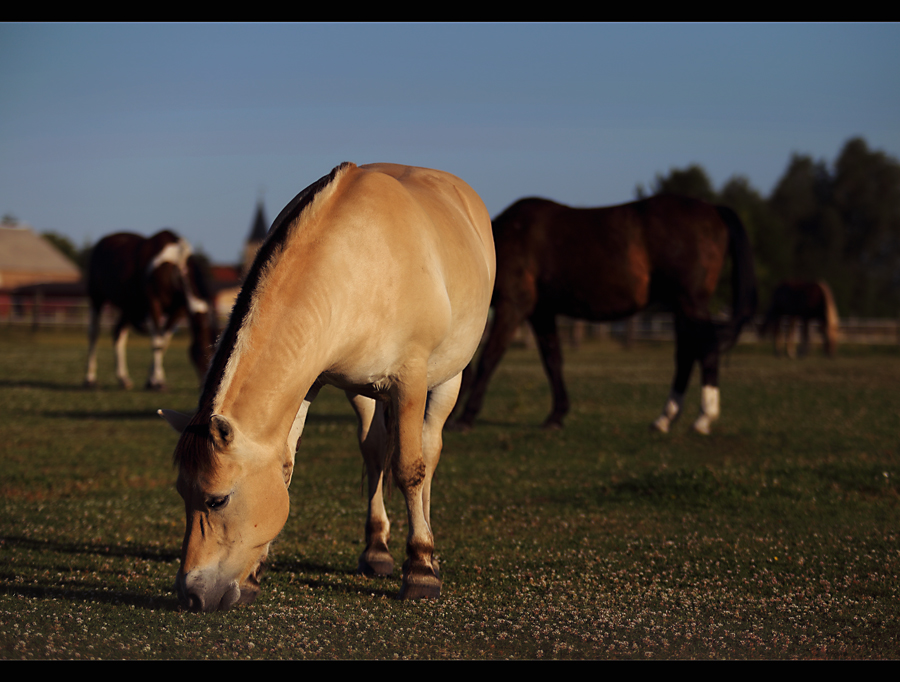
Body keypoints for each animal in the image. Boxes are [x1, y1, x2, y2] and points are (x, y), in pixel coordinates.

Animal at [85, 228, 218, 388]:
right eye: (205, 353)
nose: (209, 384)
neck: (175, 266)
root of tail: (104, 240)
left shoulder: (178, 311)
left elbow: (163, 342)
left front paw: (154, 378)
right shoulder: (154, 303)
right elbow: (157, 342)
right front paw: (156, 381)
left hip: (128, 308)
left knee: (118, 334)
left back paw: (123, 378)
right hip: (96, 297)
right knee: (94, 333)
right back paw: (90, 379)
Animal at [160, 162, 500, 608]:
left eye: (217, 500)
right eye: (181, 493)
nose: (191, 595)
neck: (357, 261)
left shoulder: (411, 380)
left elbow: (410, 469)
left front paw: (421, 570)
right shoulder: (312, 382)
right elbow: (287, 467)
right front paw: (253, 576)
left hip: (448, 378)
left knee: (428, 452)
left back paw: (426, 551)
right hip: (363, 391)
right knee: (374, 452)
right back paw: (377, 550)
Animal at [454, 194, 756, 432]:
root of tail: (713, 208)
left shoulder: (513, 306)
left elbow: (490, 358)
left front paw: (466, 418)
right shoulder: (542, 313)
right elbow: (553, 360)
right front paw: (556, 416)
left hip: (691, 302)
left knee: (707, 349)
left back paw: (704, 418)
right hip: (681, 306)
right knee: (686, 355)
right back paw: (665, 419)